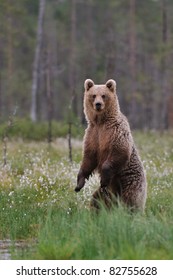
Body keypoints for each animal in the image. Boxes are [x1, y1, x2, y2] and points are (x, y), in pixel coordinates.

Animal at [75, 78, 147, 210]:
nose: (98, 104)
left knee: (131, 199)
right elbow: (89, 158)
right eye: (93, 95)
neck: (101, 122)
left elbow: (119, 151)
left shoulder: (115, 132)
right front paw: (79, 184)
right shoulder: (93, 135)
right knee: (96, 200)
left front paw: (103, 179)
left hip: (130, 182)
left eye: (104, 95)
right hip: (106, 193)